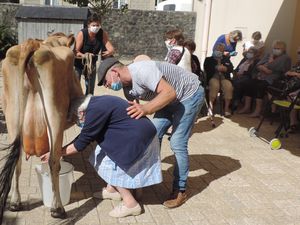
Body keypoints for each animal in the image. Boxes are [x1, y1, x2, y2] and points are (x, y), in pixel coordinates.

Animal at [0, 33, 84, 221]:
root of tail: (33, 45)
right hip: (55, 114)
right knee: (53, 161)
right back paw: (57, 208)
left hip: (11, 114)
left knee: (16, 160)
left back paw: (15, 202)